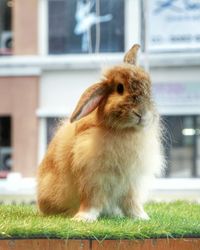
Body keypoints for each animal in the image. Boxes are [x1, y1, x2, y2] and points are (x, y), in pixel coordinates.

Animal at [36, 44, 163, 222]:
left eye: (149, 87)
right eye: (120, 88)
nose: (142, 113)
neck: (124, 131)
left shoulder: (131, 183)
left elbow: (131, 203)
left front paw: (141, 217)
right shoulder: (93, 180)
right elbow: (92, 202)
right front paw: (83, 218)